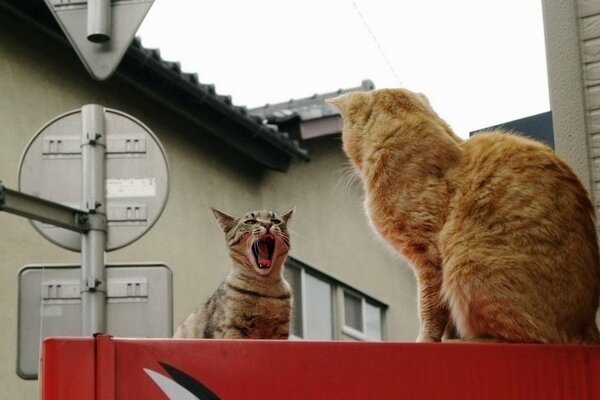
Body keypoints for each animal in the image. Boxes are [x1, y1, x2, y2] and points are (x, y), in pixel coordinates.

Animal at [172, 208, 294, 340]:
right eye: (251, 222)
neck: (266, 288)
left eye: (276, 221)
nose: (267, 224)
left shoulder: (281, 333)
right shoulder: (233, 331)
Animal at [328, 88, 600, 344]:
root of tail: (586, 323)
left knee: (531, 337)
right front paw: (447, 338)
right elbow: (445, 316)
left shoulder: (429, 257)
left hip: (468, 266)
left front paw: (427, 340)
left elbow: (429, 310)